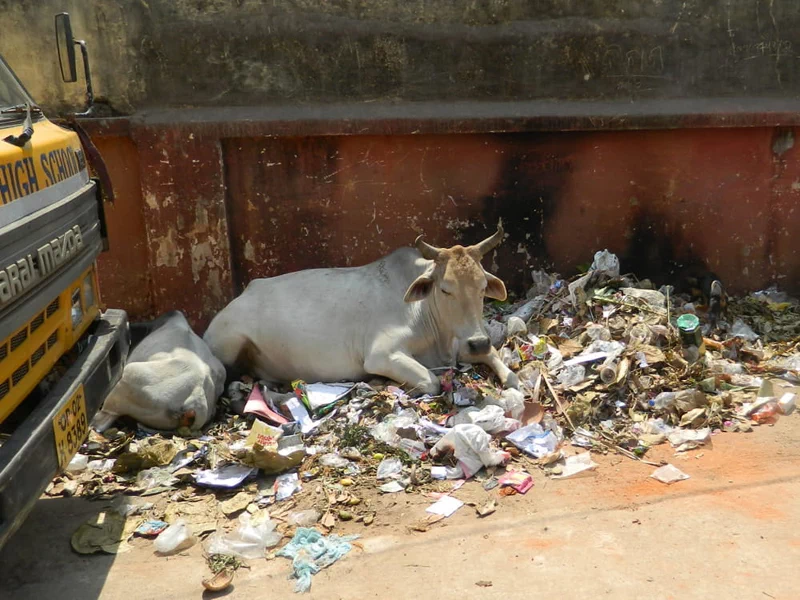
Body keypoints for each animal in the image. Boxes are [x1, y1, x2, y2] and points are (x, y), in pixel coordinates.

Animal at [203, 223, 520, 396]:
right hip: (228, 343)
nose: (478, 341)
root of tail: (247, 291)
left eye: (483, 287)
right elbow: (431, 382)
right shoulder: (382, 354)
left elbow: (503, 365)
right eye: (445, 289)